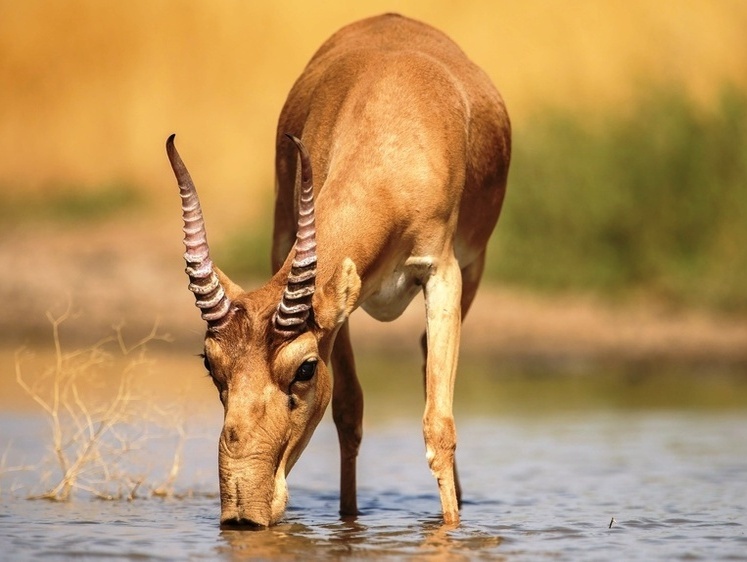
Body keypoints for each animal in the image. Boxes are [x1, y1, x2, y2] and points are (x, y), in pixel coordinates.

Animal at [167, 13, 512, 524]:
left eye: (305, 368)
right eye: (211, 365)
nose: (243, 514)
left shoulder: (442, 274)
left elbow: (438, 426)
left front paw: (450, 527)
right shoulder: (334, 299)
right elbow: (349, 412)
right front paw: (349, 523)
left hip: (473, 271)